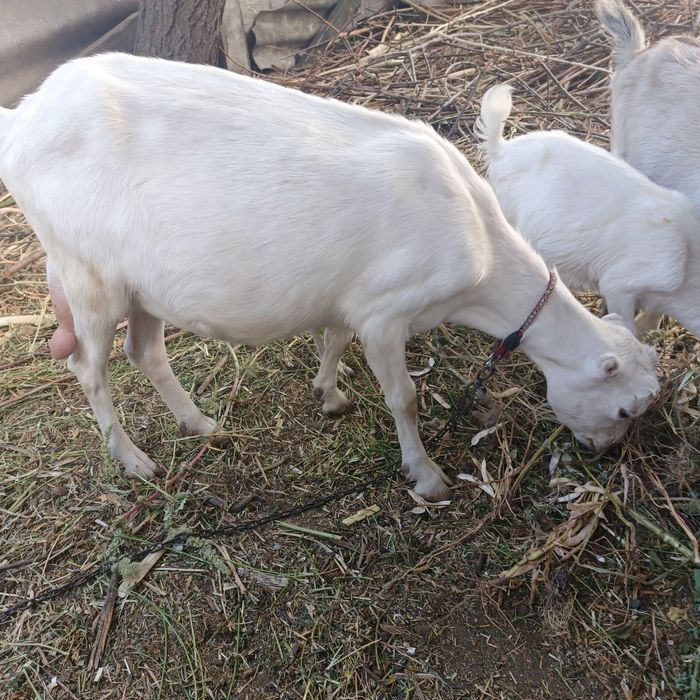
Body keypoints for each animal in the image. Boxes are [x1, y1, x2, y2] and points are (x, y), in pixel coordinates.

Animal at [0, 53, 659, 501]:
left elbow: (335, 339)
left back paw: (202, 423)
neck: (481, 248)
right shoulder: (387, 311)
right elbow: (404, 396)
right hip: (86, 271)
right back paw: (134, 459)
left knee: (144, 351)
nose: (603, 453)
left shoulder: (351, 301)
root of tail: (24, 118)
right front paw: (427, 476)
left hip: (142, 285)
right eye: (626, 410)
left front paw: (329, 393)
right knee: (88, 368)